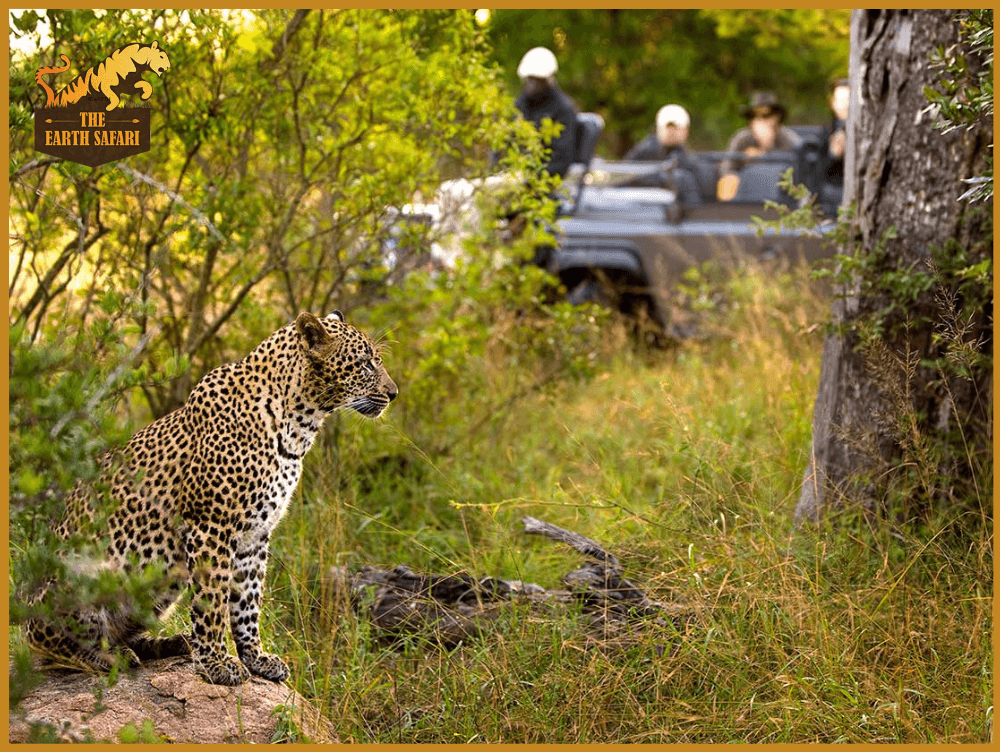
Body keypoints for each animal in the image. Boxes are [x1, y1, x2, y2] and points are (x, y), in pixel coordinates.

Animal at [25, 308, 396, 684]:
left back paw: (169, 643)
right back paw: (109, 658)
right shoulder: (211, 527)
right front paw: (216, 663)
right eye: (366, 363)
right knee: (53, 645)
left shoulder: (255, 535)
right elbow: (213, 600)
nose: (393, 393)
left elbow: (247, 602)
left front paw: (255, 658)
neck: (299, 426)